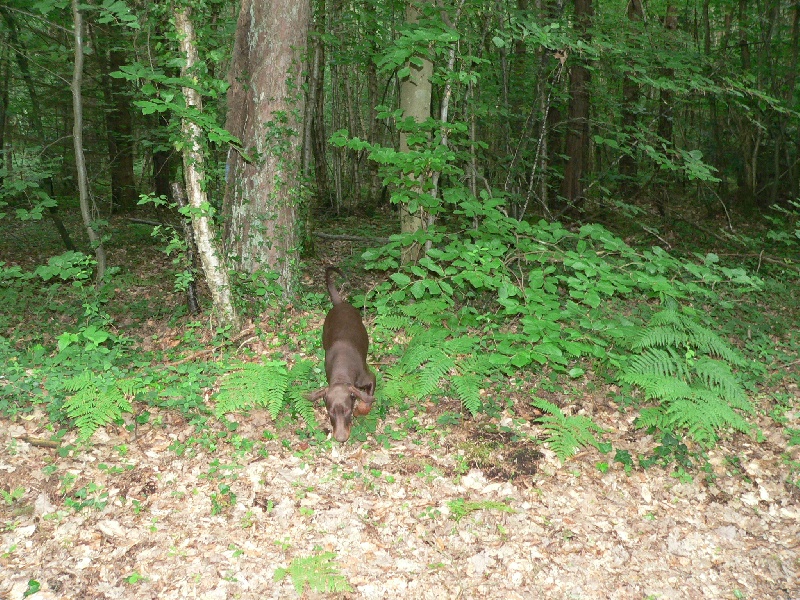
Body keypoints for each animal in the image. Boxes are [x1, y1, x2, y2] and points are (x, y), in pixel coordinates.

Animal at [310, 268, 376, 440]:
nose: (340, 439)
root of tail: (340, 303)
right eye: (330, 412)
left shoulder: (369, 378)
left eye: (347, 410)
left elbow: (367, 401)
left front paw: (360, 410)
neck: (342, 371)